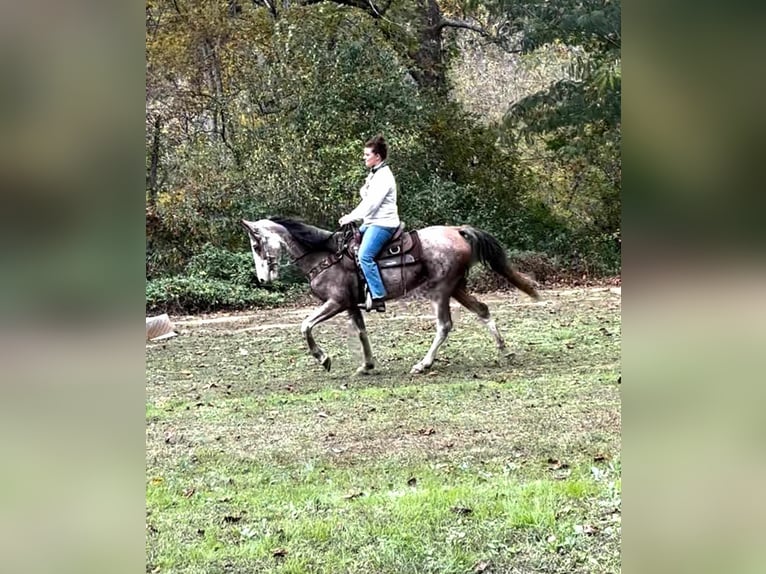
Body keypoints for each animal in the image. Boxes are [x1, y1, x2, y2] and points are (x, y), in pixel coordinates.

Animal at [242, 218, 540, 376]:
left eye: (256, 245)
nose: (262, 279)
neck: (325, 255)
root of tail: (456, 230)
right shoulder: (350, 305)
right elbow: (361, 333)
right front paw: (367, 365)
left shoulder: (335, 302)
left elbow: (305, 325)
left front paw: (323, 358)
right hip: (457, 288)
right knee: (483, 310)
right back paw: (504, 350)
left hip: (440, 290)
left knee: (444, 325)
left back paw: (423, 364)